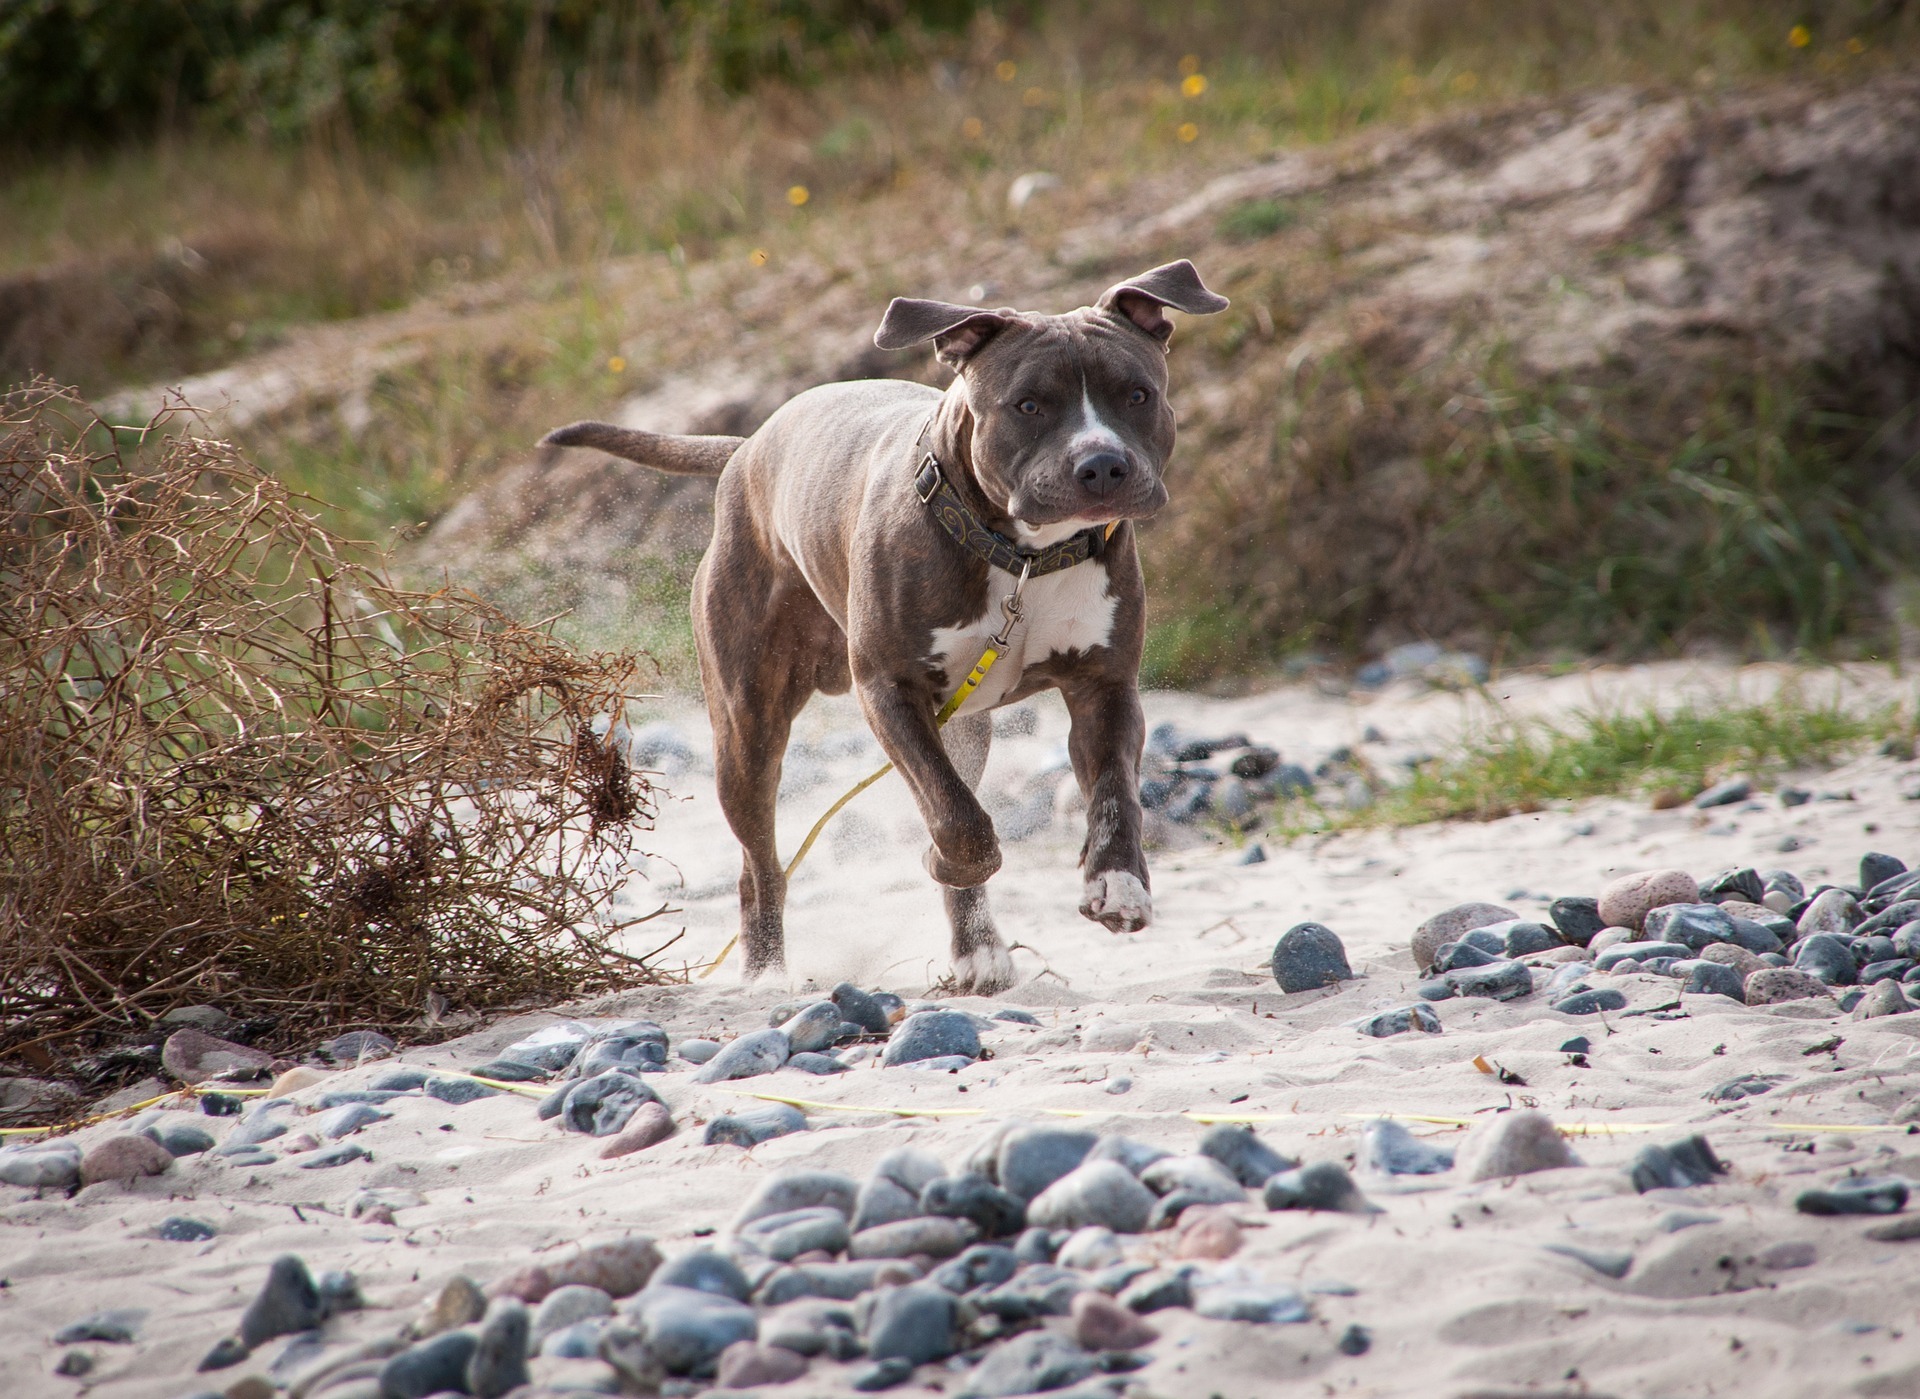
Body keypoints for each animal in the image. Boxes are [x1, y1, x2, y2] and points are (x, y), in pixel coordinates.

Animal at [541, 257, 1228, 990]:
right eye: (1028, 405)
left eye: (1137, 395)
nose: (1101, 464)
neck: (1022, 557)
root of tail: (749, 447)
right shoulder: (890, 691)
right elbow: (958, 821)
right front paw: (946, 859)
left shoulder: (1104, 687)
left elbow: (1113, 796)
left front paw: (1118, 886)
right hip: (747, 726)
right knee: (761, 865)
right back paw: (768, 974)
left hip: (962, 727)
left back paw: (977, 951)